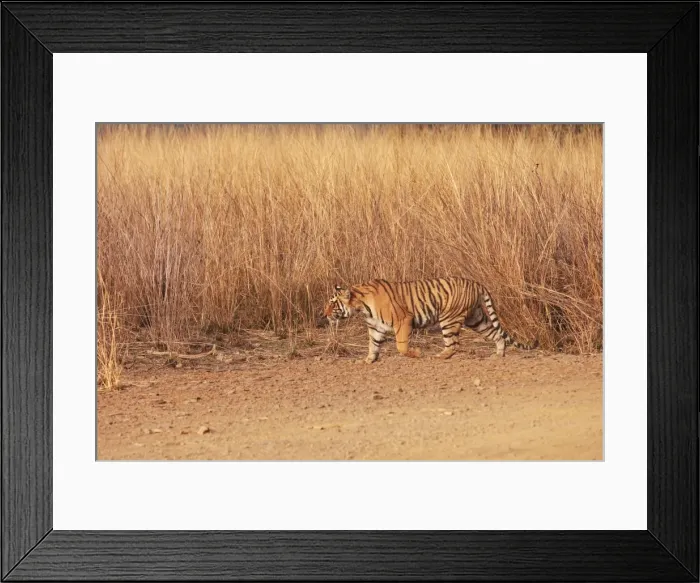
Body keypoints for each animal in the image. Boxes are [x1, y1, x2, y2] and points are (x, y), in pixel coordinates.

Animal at [322, 277, 537, 363]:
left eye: (332, 304)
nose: (324, 314)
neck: (362, 306)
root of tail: (477, 283)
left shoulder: (403, 320)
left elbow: (401, 346)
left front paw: (416, 354)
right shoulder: (376, 328)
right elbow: (372, 346)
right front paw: (367, 361)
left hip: (449, 319)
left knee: (453, 344)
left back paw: (439, 356)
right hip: (476, 319)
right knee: (497, 335)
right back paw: (498, 355)